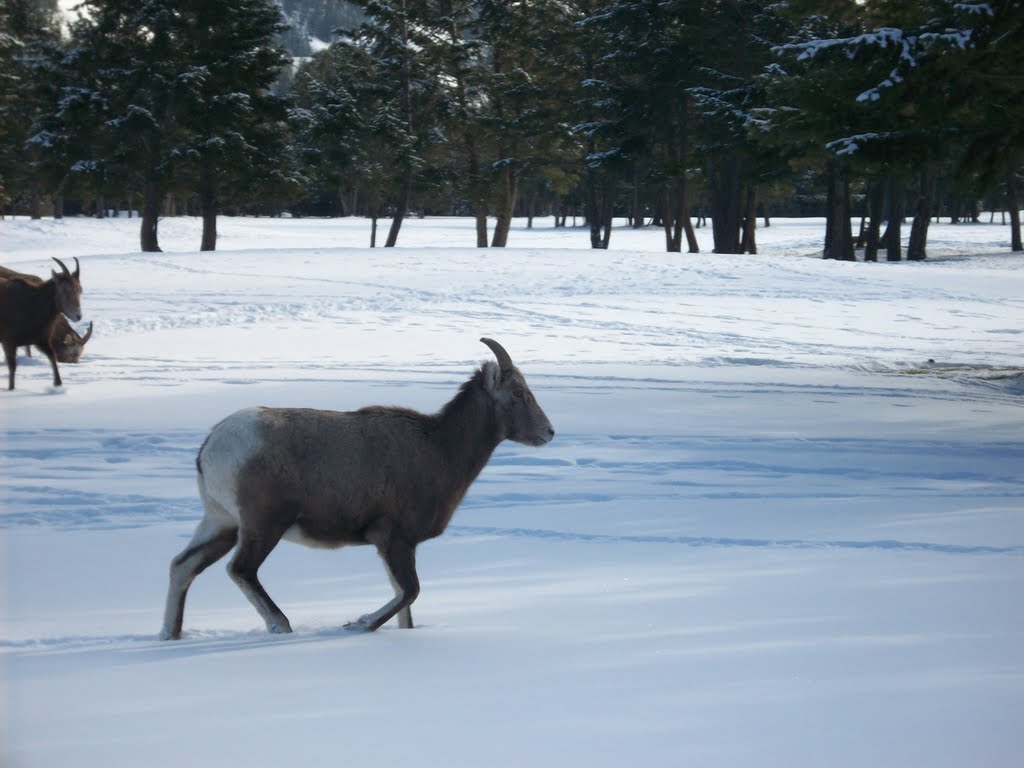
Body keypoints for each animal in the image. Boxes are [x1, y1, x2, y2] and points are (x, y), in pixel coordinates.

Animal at [0, 259, 83, 391]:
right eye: (65, 290)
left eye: (80, 290)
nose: (78, 316)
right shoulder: (8, 343)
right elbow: (12, 368)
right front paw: (11, 389)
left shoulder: (41, 341)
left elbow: (52, 358)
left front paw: (57, 384)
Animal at [159, 337, 557, 643]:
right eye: (518, 393)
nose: (549, 432)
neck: (439, 450)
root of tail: (211, 447)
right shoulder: (392, 538)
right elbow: (409, 592)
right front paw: (357, 624)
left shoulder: (397, 546)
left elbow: (406, 608)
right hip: (263, 526)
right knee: (240, 569)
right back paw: (281, 627)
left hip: (222, 524)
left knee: (183, 565)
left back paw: (170, 635)